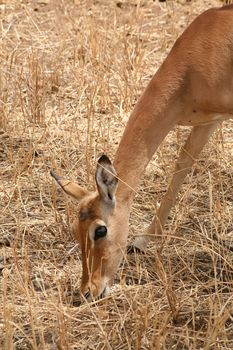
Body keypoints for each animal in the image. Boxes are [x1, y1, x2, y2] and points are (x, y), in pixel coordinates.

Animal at [52, 4, 233, 300]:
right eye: (74, 229)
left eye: (100, 230)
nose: (89, 290)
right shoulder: (208, 122)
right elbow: (182, 165)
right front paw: (144, 241)